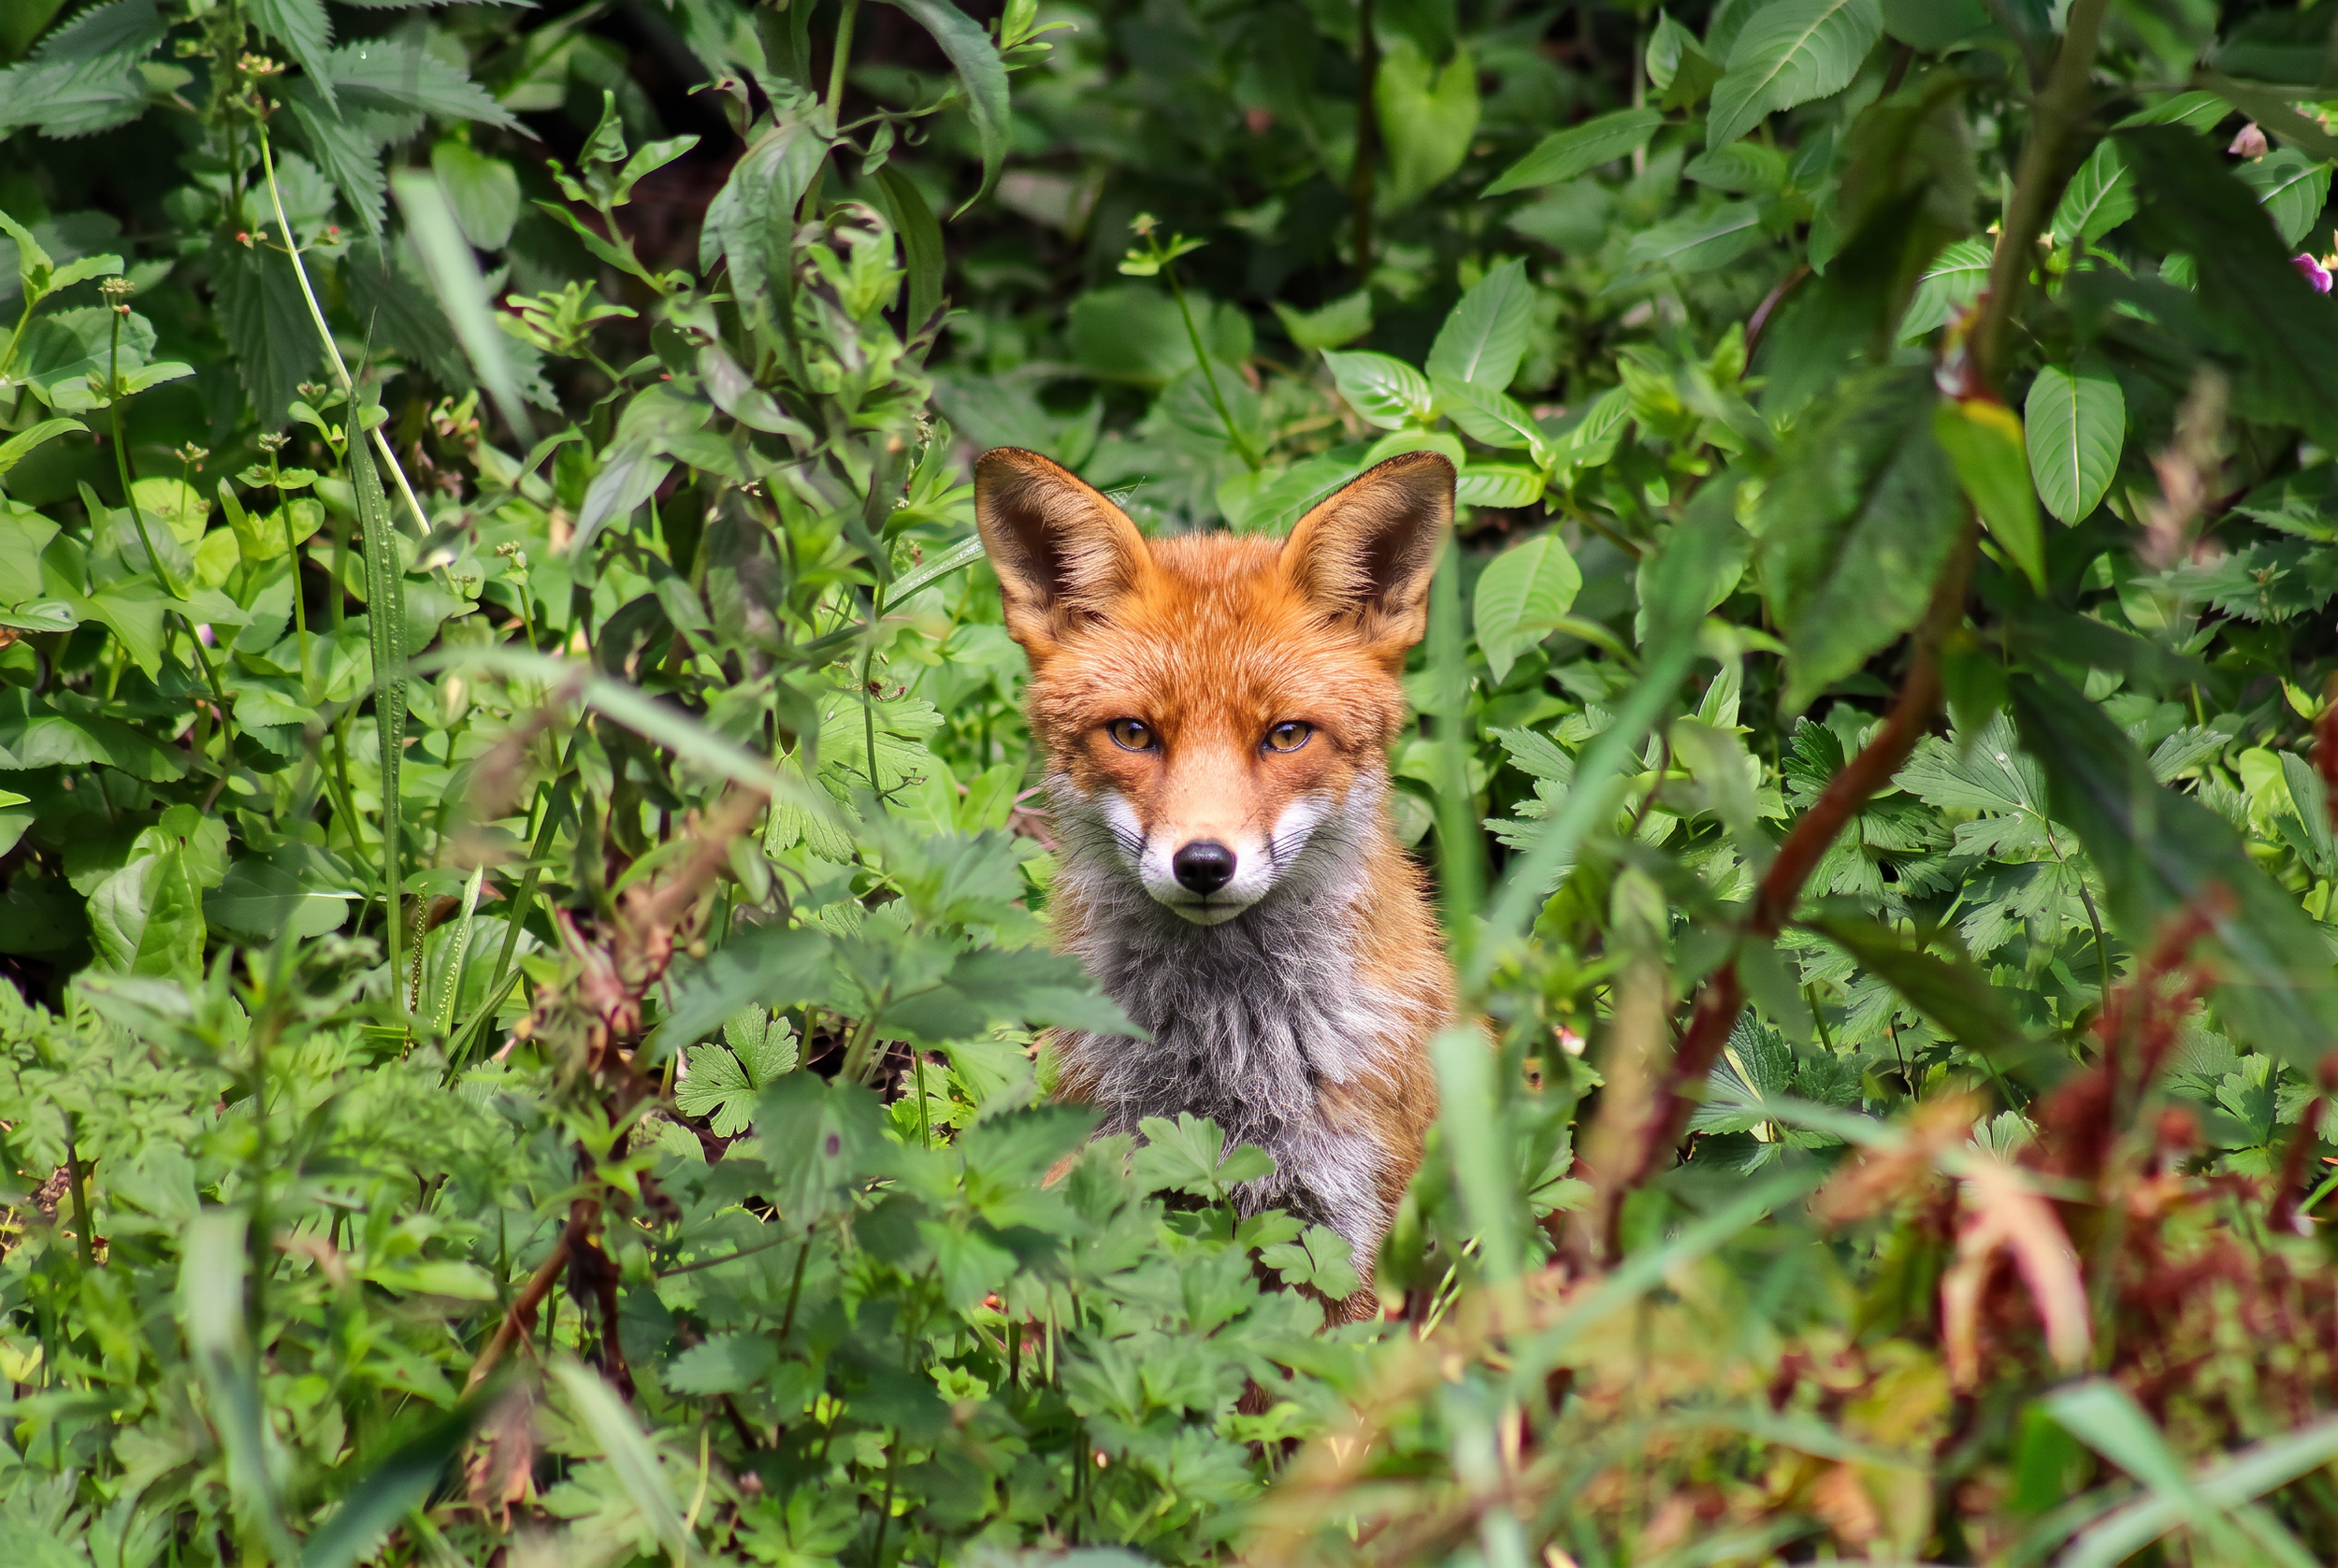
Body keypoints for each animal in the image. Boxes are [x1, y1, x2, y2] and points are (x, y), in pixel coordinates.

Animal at [973, 446, 1460, 1319]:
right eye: (1133, 733)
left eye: (1287, 735)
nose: (1203, 862)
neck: (1227, 1056)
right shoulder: (1106, 1160)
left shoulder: (1352, 1228)